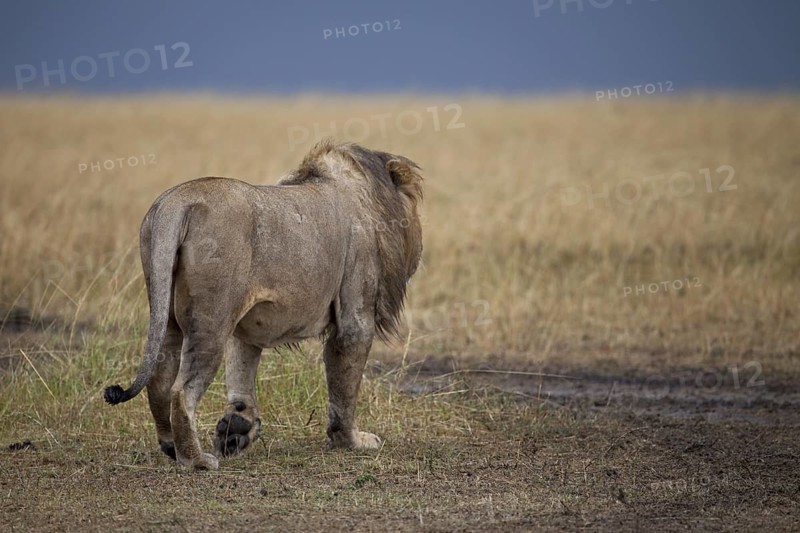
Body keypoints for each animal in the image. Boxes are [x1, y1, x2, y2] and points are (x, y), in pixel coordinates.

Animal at [103, 140, 423, 470]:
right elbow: (343, 389)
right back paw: (196, 460)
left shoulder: (245, 326)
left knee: (160, 381)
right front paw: (352, 441)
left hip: (168, 314)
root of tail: (176, 203)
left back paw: (170, 446)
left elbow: (241, 375)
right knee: (182, 392)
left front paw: (237, 430)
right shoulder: (354, 317)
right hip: (211, 320)